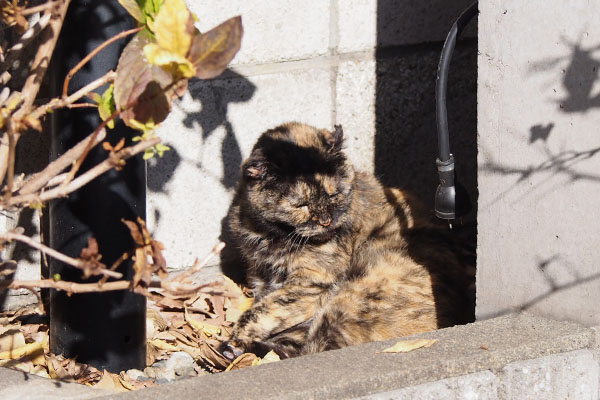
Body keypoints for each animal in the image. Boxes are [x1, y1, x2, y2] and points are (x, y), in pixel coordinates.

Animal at [218, 122, 476, 360]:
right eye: (301, 204)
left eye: (334, 194)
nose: (326, 221)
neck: (270, 235)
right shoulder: (259, 277)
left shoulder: (312, 282)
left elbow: (262, 311)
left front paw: (234, 341)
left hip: (348, 301)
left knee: (314, 350)